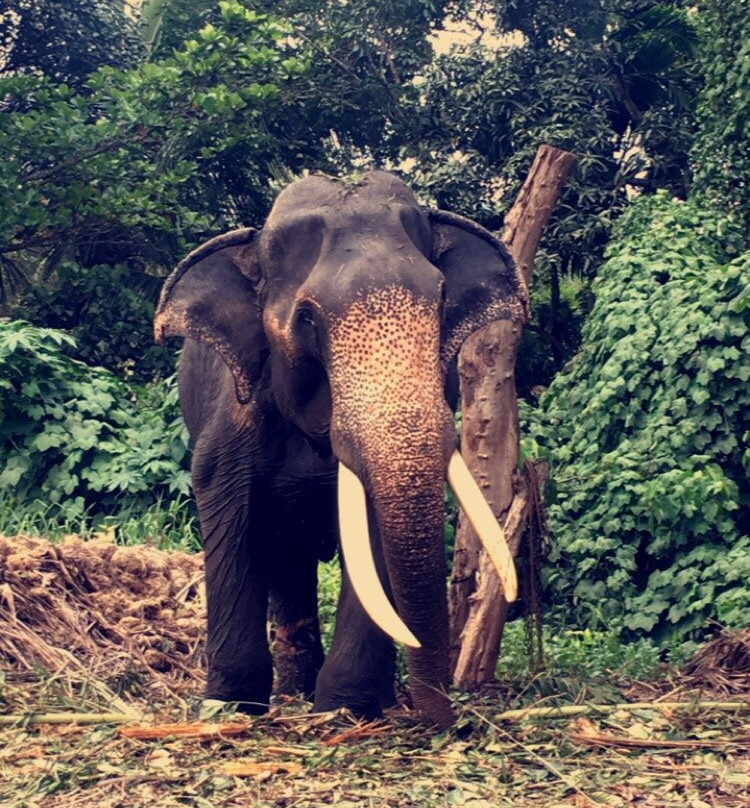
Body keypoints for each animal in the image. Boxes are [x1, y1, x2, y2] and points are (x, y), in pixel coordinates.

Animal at [154, 170, 526, 728]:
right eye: (307, 319)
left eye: (442, 303)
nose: (442, 720)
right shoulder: (231, 419)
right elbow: (232, 521)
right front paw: (229, 707)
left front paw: (345, 709)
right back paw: (291, 693)